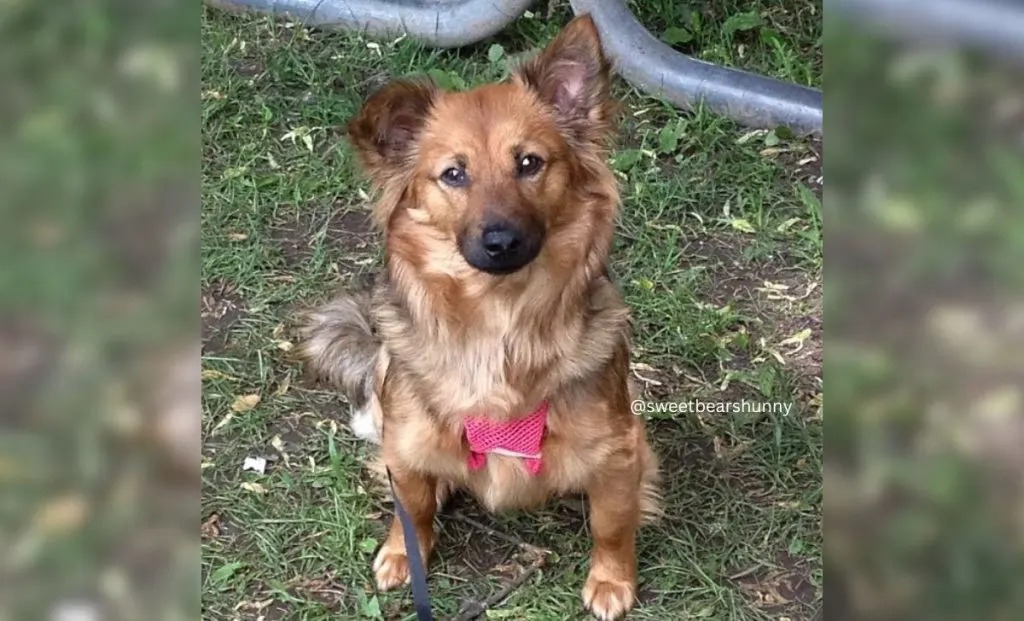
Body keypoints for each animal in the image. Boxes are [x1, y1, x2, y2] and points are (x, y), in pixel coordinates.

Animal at [296, 15, 663, 621]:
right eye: (453, 175)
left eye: (529, 163)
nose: (501, 240)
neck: (500, 317)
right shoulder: (406, 444)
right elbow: (413, 507)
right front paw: (404, 552)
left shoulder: (617, 449)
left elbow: (611, 523)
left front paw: (612, 581)